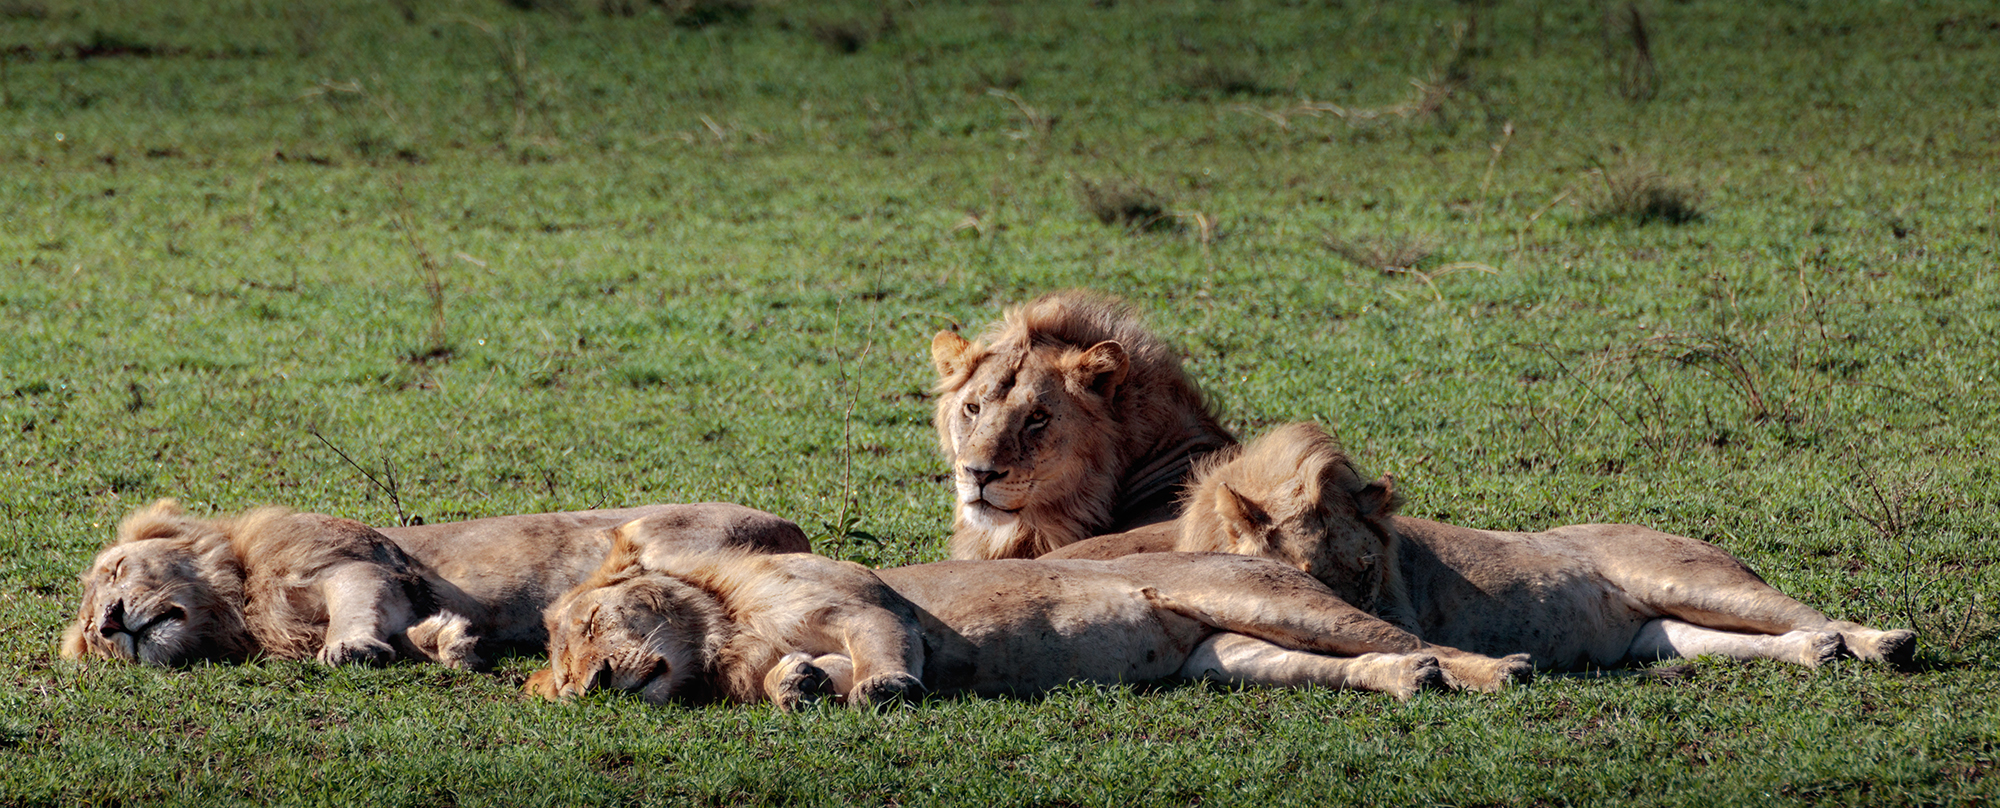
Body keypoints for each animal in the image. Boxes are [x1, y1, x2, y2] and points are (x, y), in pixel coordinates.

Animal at [1048, 422, 1919, 671]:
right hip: (1660, 631)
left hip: (1692, 578)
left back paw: (1884, 641)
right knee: (1760, 640)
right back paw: (1822, 653)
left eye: (1366, 570)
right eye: (1299, 574)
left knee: (1799, 609)